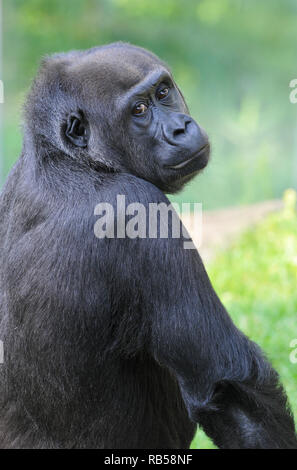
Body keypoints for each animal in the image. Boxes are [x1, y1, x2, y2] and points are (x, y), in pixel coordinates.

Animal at [0, 43, 294, 448]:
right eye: (139, 109)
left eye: (163, 92)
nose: (180, 128)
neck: (70, 159)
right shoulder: (140, 210)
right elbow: (229, 390)